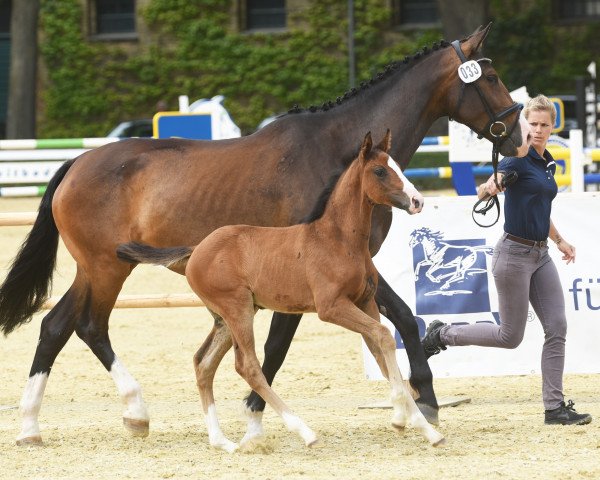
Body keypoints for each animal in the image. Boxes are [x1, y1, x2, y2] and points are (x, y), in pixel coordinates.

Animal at [118, 132, 446, 454]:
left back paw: (221, 441)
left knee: (204, 363)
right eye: (379, 171)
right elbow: (384, 336)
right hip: (237, 310)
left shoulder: (365, 303)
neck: (338, 240)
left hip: (227, 318)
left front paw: (423, 429)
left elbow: (380, 350)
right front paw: (404, 418)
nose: (417, 201)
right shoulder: (331, 307)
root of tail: (196, 248)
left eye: (398, 167)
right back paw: (304, 432)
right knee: (248, 366)